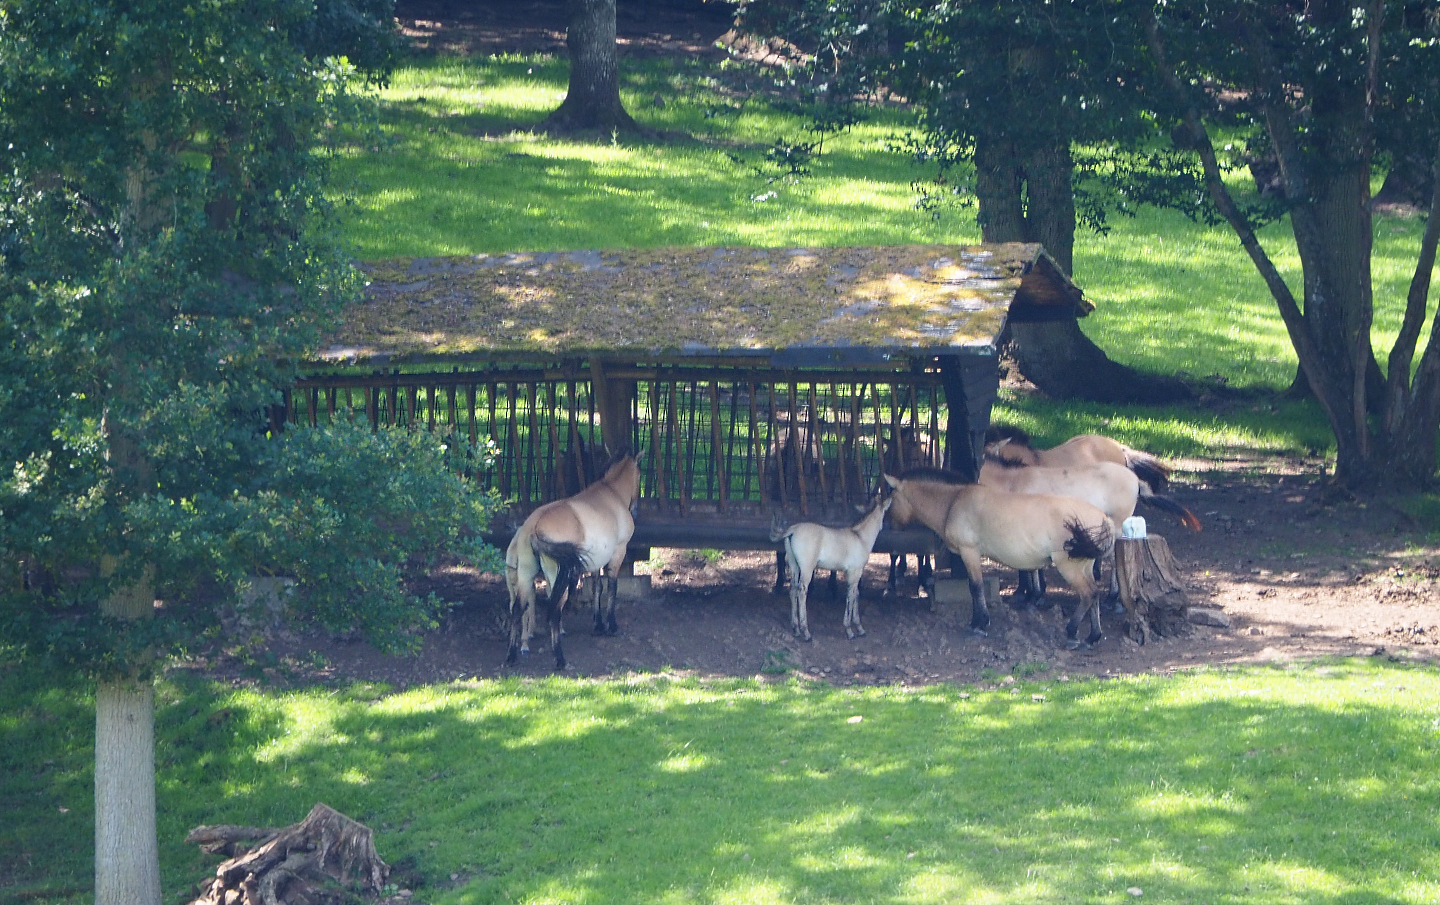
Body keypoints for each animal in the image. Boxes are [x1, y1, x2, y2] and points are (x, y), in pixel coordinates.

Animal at [505, 451, 640, 670]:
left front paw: (598, 625)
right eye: (639, 473)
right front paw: (611, 626)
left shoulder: (595, 562)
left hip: (525, 576)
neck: (612, 493)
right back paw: (559, 659)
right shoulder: (618, 553)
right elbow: (612, 588)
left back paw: (512, 656)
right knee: (554, 612)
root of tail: (533, 527)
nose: (635, 509)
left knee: (517, 609)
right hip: (557, 579)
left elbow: (596, 588)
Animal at [771, 492, 890, 641]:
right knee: (801, 591)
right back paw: (806, 632)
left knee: (793, 590)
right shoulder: (854, 572)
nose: (883, 526)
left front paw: (860, 628)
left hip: (794, 565)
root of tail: (792, 530)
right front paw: (849, 630)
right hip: (807, 568)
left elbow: (856, 594)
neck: (860, 537)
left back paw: (796, 629)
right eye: (885, 513)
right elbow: (851, 595)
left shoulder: (855, 573)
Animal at [883, 467, 1115, 648]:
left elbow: (975, 587)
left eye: (890, 500)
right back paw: (1092, 637)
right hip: (1084, 566)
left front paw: (978, 624)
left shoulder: (970, 552)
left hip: (1069, 566)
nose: (889, 527)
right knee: (1094, 595)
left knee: (1088, 594)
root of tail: (1104, 518)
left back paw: (1072, 632)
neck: (953, 501)